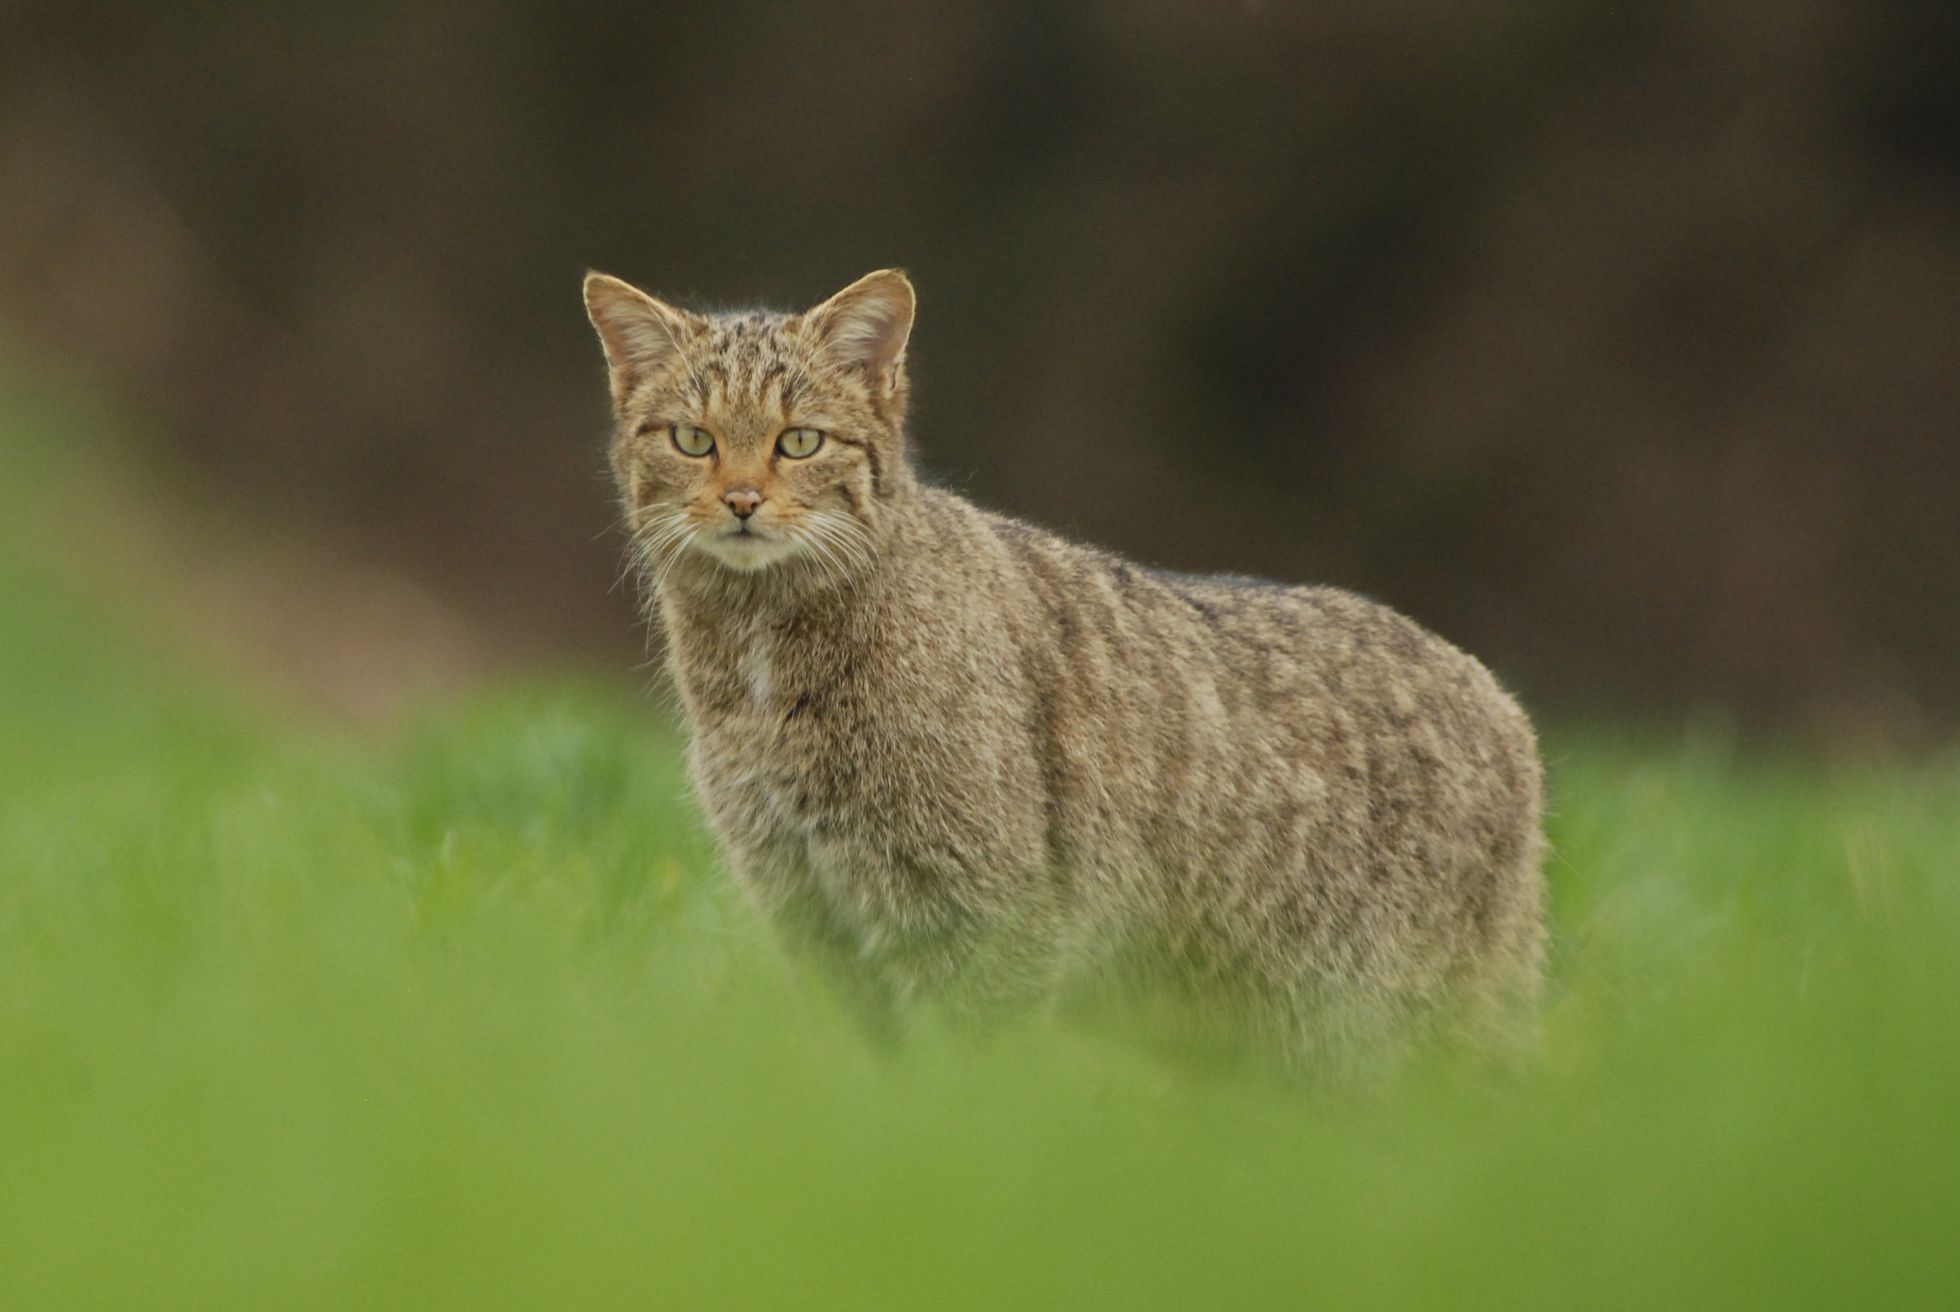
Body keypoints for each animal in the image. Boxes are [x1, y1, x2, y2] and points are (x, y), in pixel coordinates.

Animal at [580, 266, 1544, 1074]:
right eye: (693, 440)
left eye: (800, 442)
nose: (742, 500)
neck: (759, 656)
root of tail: (1506, 706)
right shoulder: (809, 914)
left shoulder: (982, 909)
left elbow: (966, 1075)